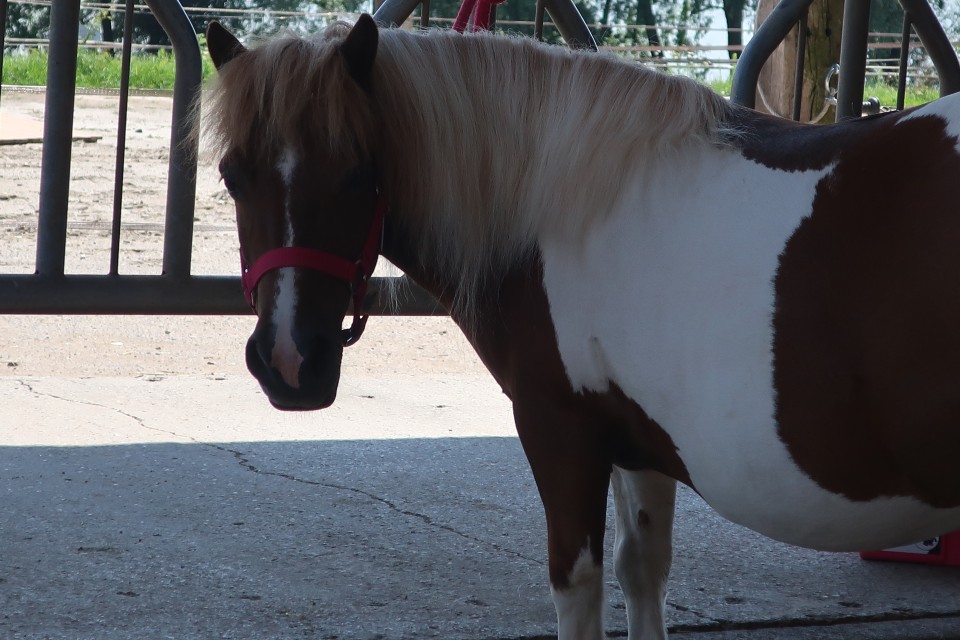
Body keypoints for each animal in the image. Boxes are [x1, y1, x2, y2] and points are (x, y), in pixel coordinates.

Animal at [199, 16, 960, 640]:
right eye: (233, 176)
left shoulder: (559, 429)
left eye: (360, 174)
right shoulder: (639, 442)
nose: (291, 363)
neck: (564, 209)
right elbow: (642, 570)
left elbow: (579, 583)